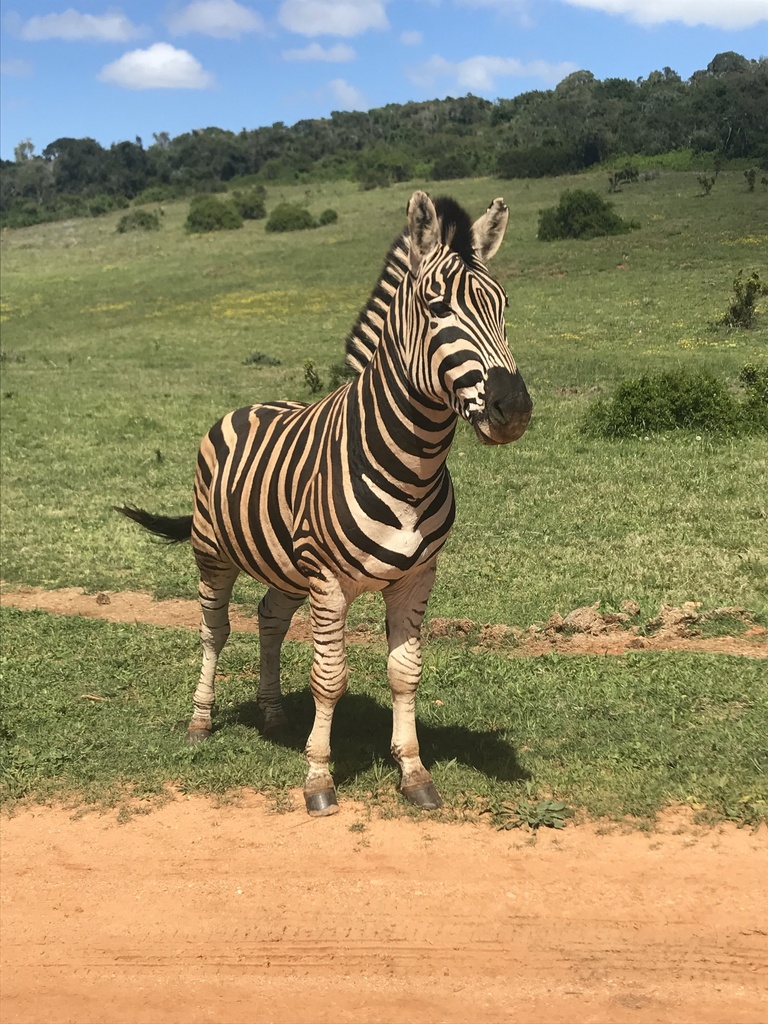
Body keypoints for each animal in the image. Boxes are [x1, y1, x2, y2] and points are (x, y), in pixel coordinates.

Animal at [117, 190, 532, 816]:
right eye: (435, 307)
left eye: (502, 305)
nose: (514, 409)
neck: (410, 465)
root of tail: (251, 405)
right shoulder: (329, 581)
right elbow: (328, 678)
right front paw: (318, 778)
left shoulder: (417, 577)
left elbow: (405, 672)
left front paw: (413, 772)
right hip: (213, 553)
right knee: (215, 630)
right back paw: (200, 722)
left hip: (288, 569)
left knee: (267, 619)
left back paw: (272, 715)